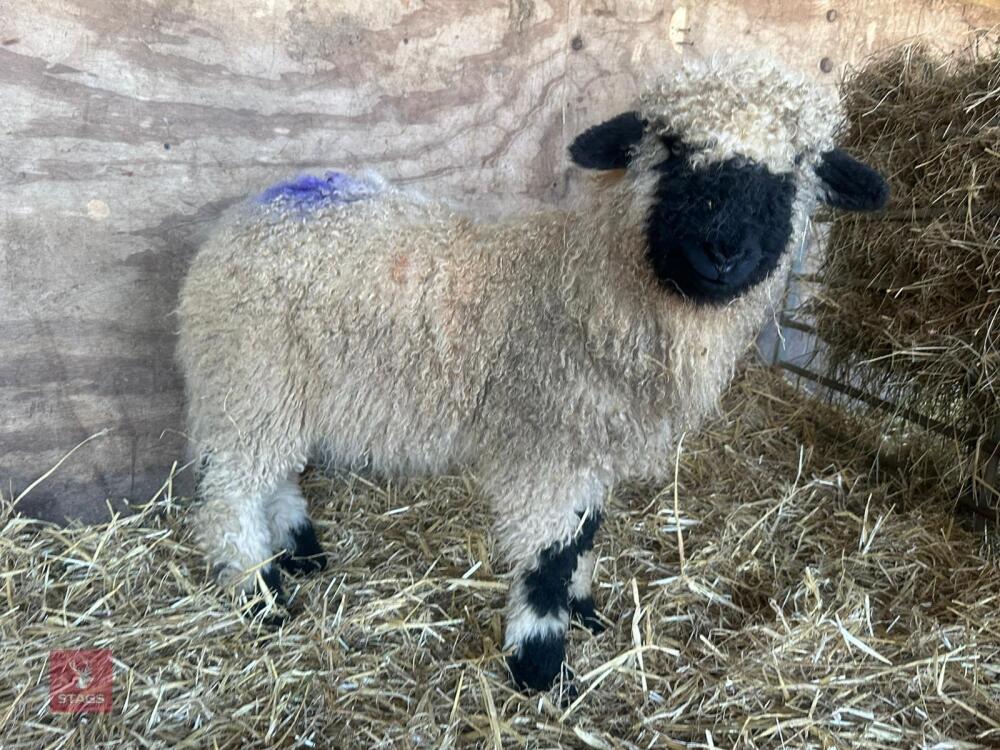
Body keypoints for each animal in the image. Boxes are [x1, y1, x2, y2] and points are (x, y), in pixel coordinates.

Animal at [176, 57, 889, 692]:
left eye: (796, 168)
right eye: (671, 149)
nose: (723, 251)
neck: (589, 285)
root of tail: (264, 203)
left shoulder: (591, 446)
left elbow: (583, 537)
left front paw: (582, 609)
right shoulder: (547, 448)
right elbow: (546, 560)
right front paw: (540, 664)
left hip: (276, 390)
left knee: (273, 475)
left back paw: (298, 551)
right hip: (247, 376)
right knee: (230, 494)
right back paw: (258, 593)